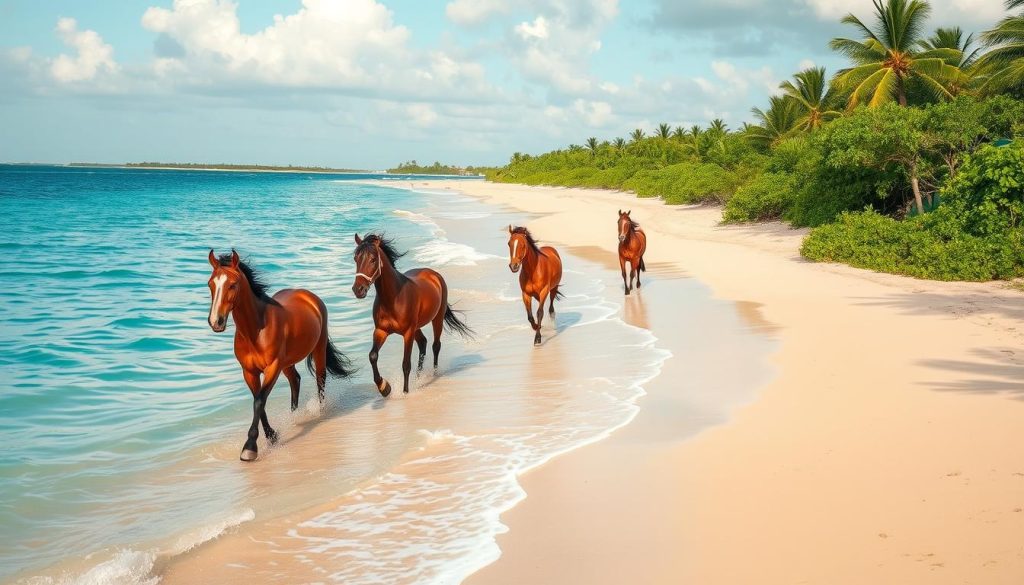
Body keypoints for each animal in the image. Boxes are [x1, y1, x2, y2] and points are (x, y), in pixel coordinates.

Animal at [207, 249, 353, 462]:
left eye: (232, 284)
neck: (255, 331)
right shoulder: (249, 372)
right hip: (287, 363)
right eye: (210, 284)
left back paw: (320, 412)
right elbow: (258, 401)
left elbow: (259, 401)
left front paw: (250, 448)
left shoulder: (272, 367)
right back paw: (294, 416)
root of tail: (309, 296)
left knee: (320, 379)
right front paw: (272, 437)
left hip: (317, 349)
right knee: (295, 380)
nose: (215, 321)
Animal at [350, 233, 473, 397]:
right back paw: (418, 378)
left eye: (373, 259)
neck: (393, 298)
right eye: (355, 258)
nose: (358, 290)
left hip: (437, 319)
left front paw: (405, 392)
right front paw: (384, 388)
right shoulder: (381, 331)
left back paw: (433, 374)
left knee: (435, 345)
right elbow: (373, 356)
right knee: (423, 343)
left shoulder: (407, 333)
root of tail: (434, 275)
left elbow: (406, 364)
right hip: (417, 327)